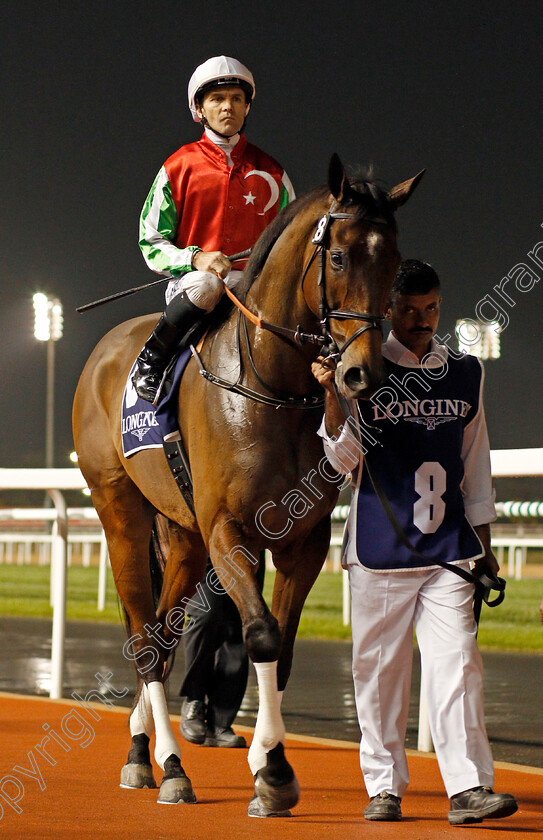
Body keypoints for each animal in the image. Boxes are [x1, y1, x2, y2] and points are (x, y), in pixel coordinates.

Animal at [72, 154, 424, 816]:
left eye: (393, 263)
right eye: (340, 257)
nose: (361, 373)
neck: (272, 386)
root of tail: (104, 351)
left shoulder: (303, 540)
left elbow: (281, 652)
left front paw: (268, 764)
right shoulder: (227, 530)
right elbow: (259, 634)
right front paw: (275, 770)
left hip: (182, 536)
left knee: (162, 635)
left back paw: (142, 755)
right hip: (121, 511)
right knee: (143, 640)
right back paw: (172, 767)